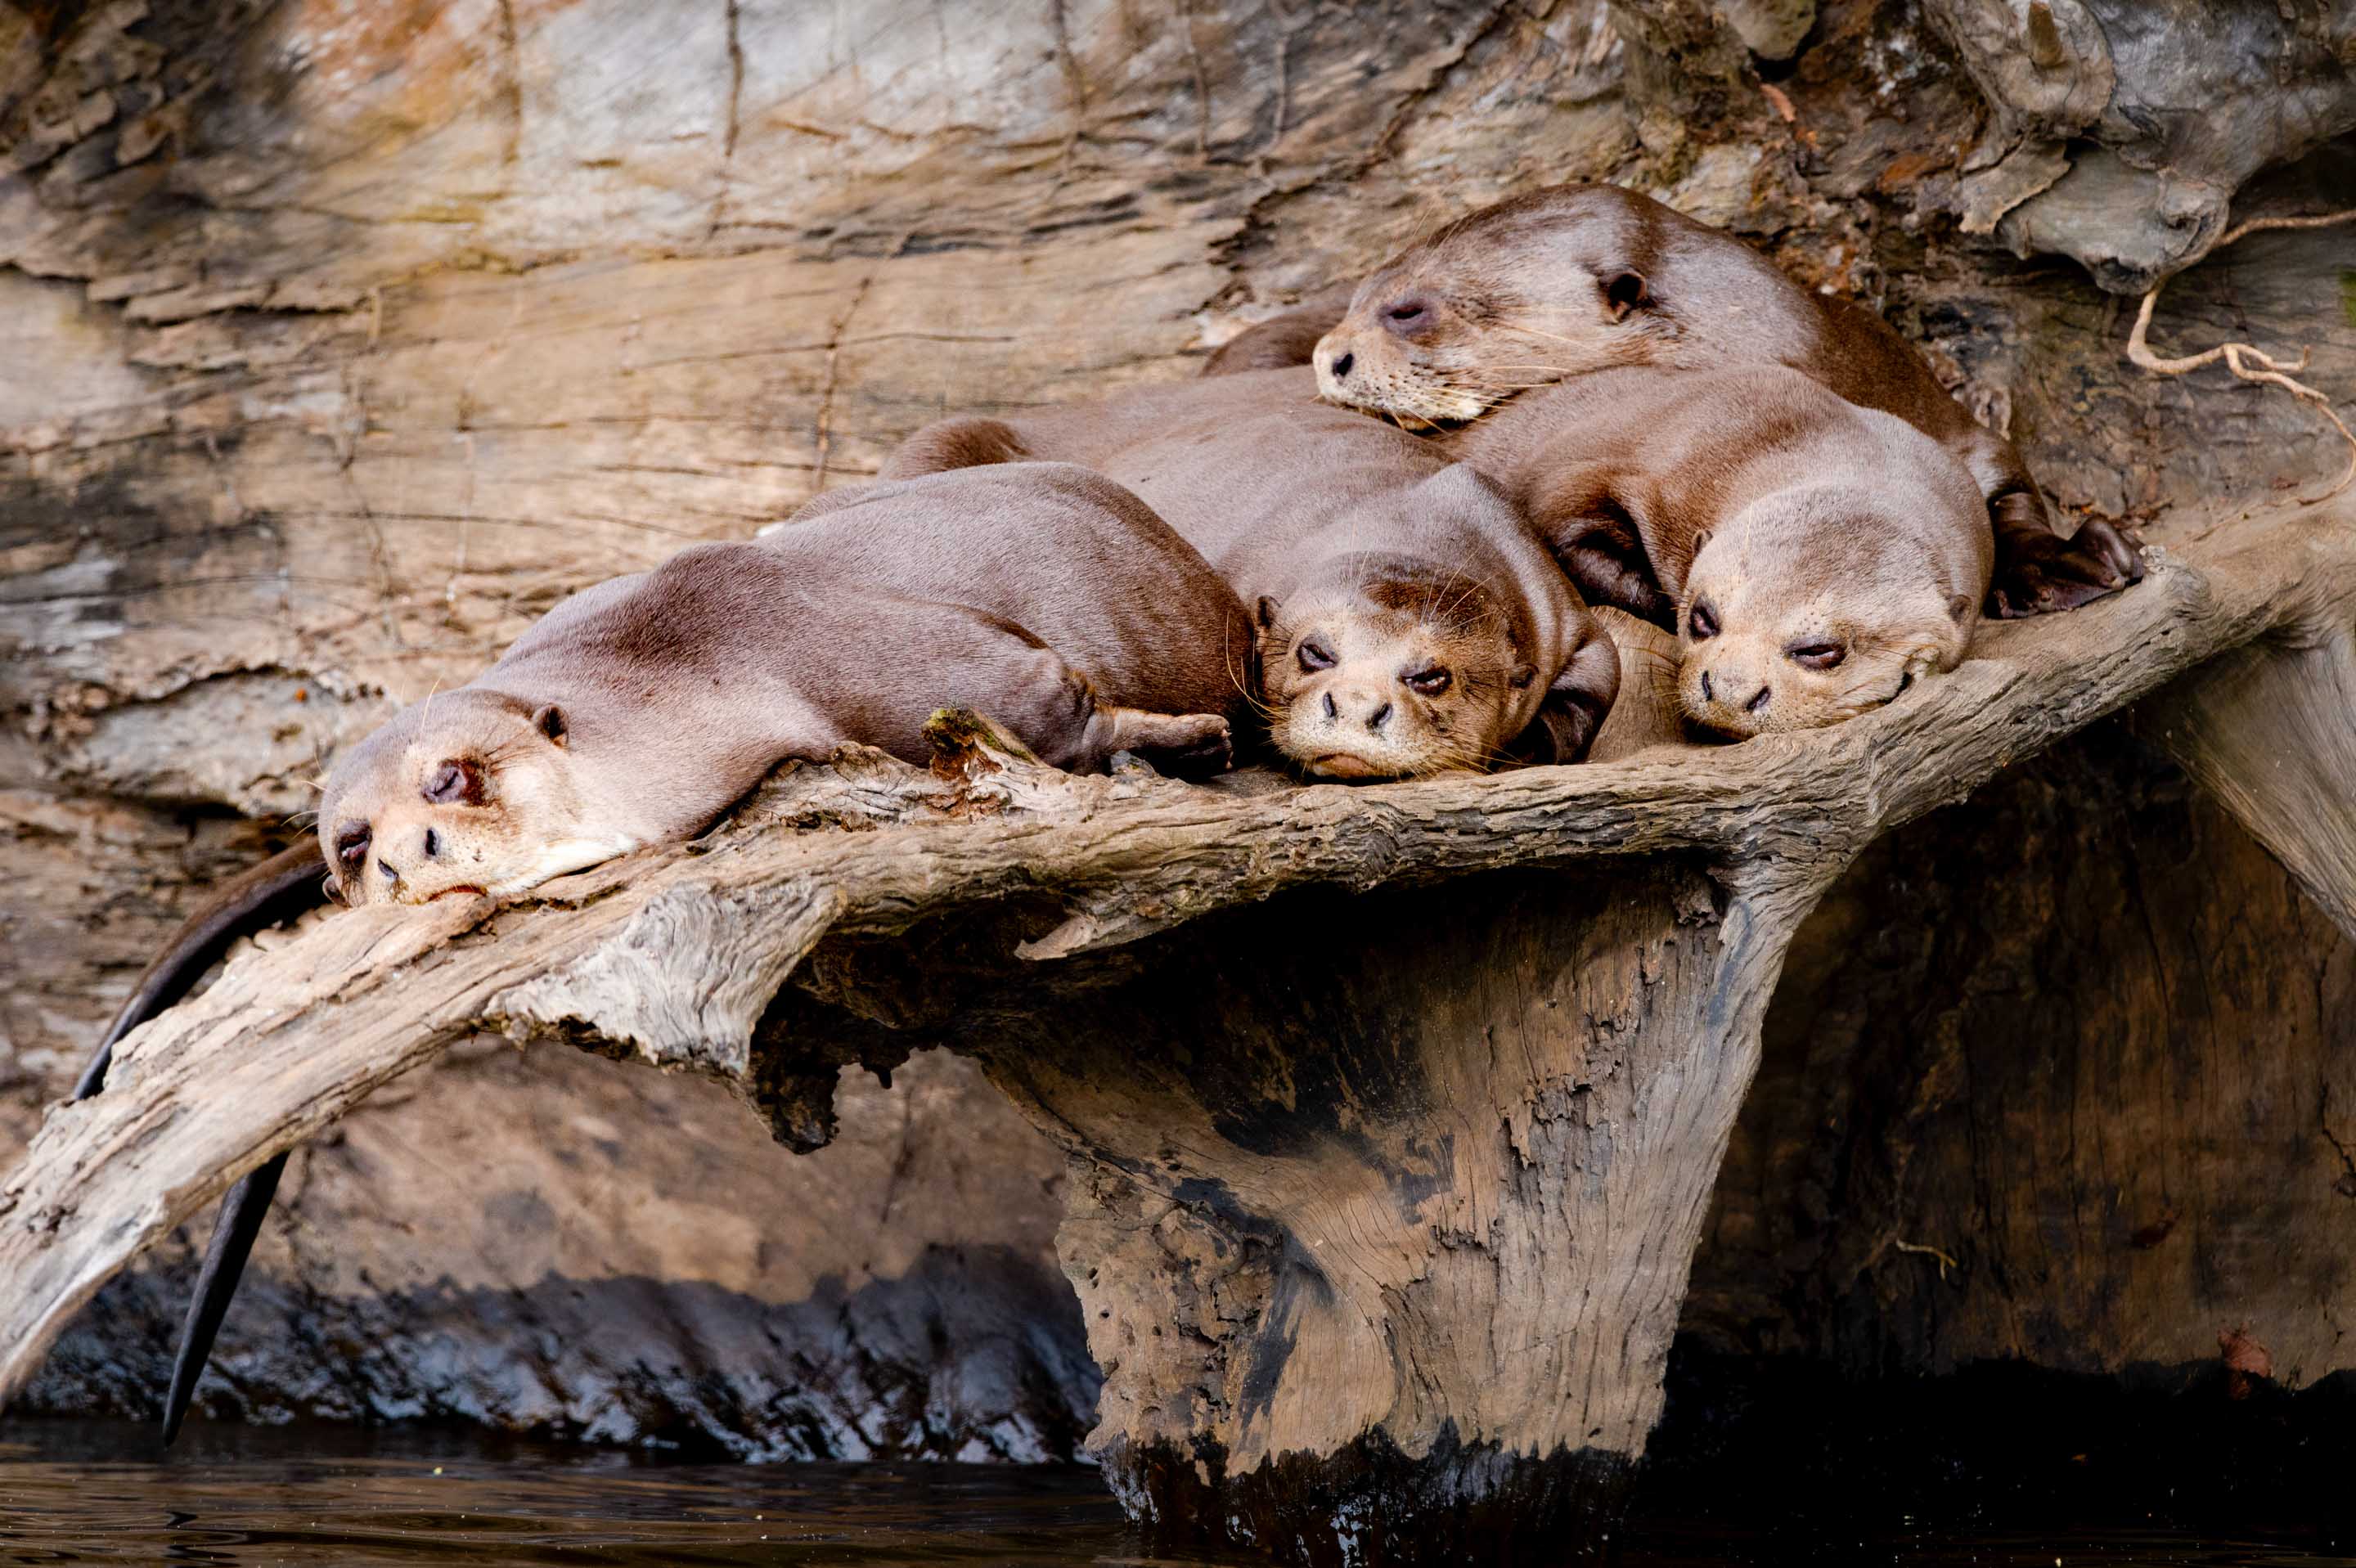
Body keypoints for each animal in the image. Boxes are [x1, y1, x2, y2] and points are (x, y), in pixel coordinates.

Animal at [81, 461, 1247, 1442]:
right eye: (353, 845)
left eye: (451, 777)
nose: (409, 857)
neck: (694, 671)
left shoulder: (872, 658)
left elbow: (1042, 702)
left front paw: (1177, 738)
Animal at [882, 366, 1622, 775]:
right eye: (1314, 652)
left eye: (1431, 676)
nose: (1357, 705)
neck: (1417, 521)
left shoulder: (1557, 602)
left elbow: (1600, 679)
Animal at [1228, 183, 2141, 620]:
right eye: (1362, 293)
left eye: (1407, 309)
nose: (1330, 356)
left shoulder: (1945, 417)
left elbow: (2010, 486)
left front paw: (2064, 562)